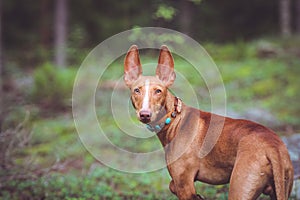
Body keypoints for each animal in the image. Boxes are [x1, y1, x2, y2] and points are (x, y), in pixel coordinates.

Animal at [122, 44, 292, 199]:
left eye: (158, 91)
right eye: (136, 90)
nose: (145, 114)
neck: (175, 119)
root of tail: (272, 145)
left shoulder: (185, 186)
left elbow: (175, 186)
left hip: (239, 190)